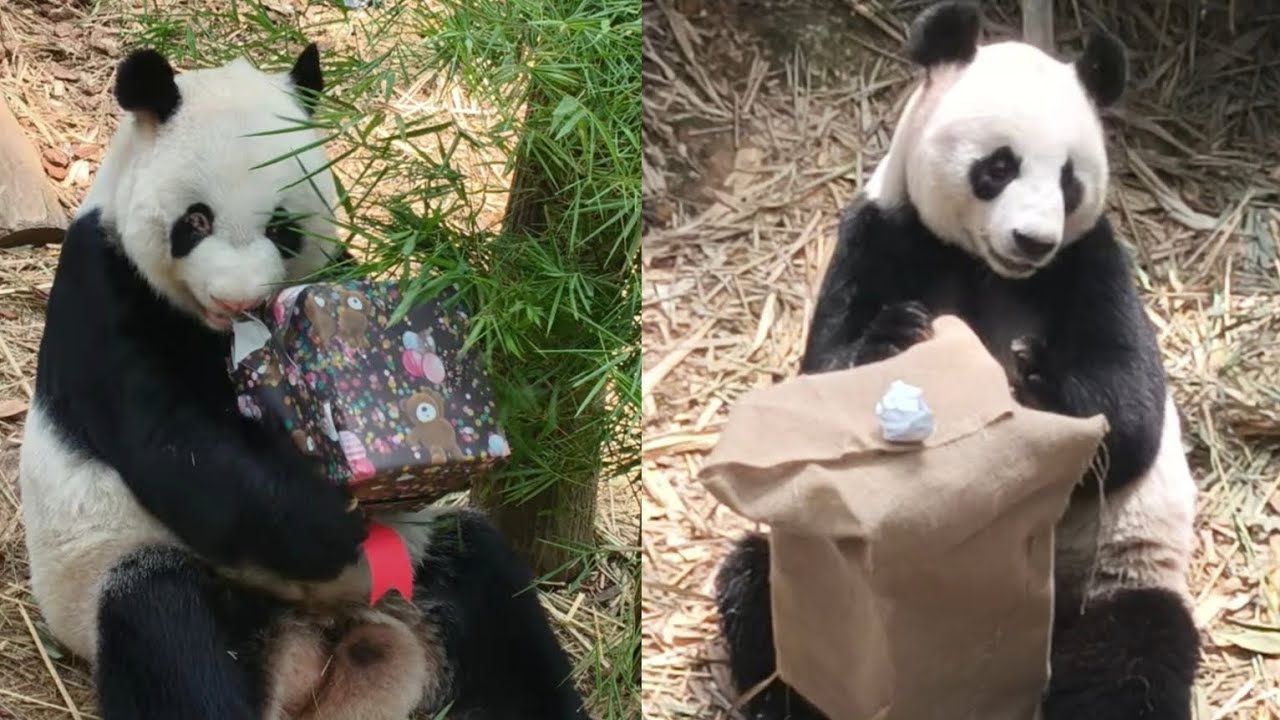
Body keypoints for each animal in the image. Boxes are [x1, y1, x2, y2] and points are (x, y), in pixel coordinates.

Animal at [17, 42, 589, 720]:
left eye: (283, 227)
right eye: (195, 220)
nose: (238, 300)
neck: (219, 331)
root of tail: (318, 648)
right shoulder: (105, 290)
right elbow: (175, 445)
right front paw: (328, 518)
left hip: (419, 568)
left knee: (492, 593)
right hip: (125, 574)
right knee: (164, 622)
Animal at [713, 3, 1200, 720]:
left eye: (1069, 180)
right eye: (998, 166)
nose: (1033, 240)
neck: (984, 267)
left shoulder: (1090, 261)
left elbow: (1133, 410)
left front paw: (1034, 382)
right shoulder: (882, 233)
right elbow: (822, 378)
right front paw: (896, 338)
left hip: (1118, 571)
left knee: (1130, 658)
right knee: (767, 593)